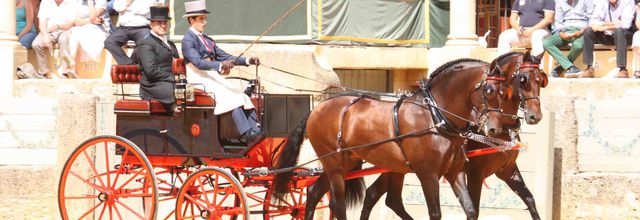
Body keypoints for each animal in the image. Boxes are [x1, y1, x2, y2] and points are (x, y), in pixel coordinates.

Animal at [272, 57, 512, 219]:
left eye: (505, 92)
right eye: (489, 90)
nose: (494, 128)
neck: (435, 116)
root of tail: (316, 109)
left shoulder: (455, 172)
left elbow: (470, 210)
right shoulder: (428, 174)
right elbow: (435, 213)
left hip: (344, 163)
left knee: (313, 193)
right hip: (335, 165)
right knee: (338, 204)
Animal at [358, 50, 548, 219]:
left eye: (541, 80)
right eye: (523, 80)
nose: (535, 116)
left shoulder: (507, 170)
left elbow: (530, 199)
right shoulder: (475, 174)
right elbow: (475, 208)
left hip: (397, 166)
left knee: (383, 197)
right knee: (382, 197)